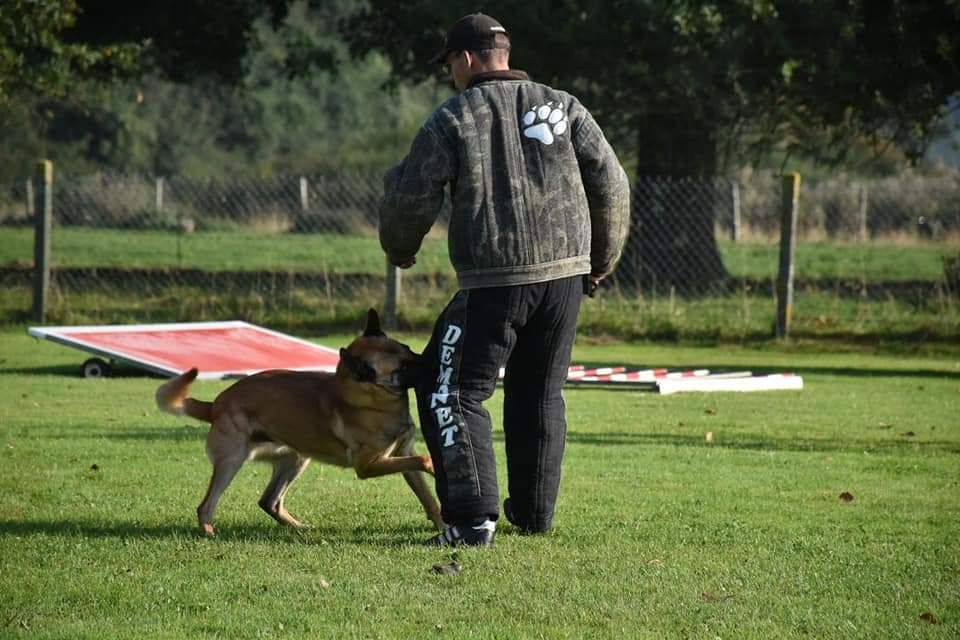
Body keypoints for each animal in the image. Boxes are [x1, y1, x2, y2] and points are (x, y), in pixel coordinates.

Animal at [155, 309, 443, 536]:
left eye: (408, 349)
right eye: (402, 367)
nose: (434, 360)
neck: (369, 401)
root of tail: (216, 404)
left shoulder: (402, 452)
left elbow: (428, 497)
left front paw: (442, 523)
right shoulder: (368, 466)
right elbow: (423, 459)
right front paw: (435, 468)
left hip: (295, 459)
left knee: (269, 502)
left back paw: (299, 527)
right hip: (231, 462)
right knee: (206, 505)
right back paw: (208, 532)